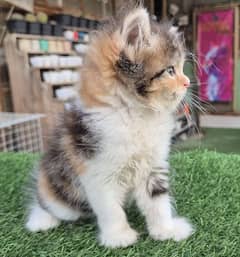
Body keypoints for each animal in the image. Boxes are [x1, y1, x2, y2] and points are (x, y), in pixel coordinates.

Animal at [25, 6, 193, 246]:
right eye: (170, 70)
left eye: (180, 68)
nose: (188, 82)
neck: (136, 115)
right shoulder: (96, 171)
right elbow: (110, 209)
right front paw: (119, 237)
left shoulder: (153, 166)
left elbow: (158, 202)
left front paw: (166, 230)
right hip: (59, 191)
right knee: (48, 204)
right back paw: (40, 220)